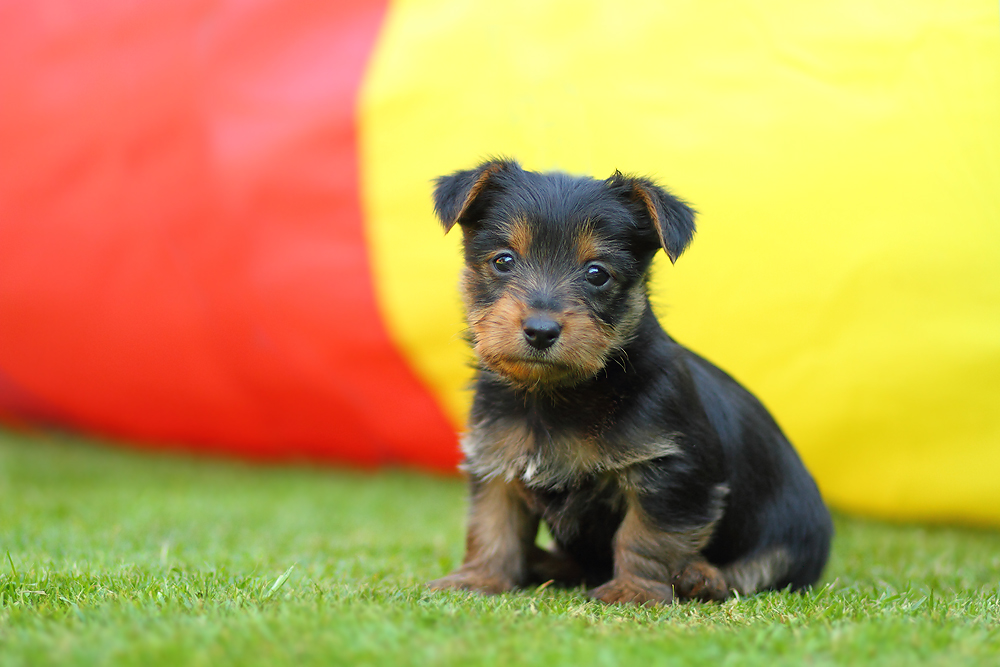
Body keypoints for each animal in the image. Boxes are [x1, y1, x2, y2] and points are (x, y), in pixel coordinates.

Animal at [426, 158, 832, 604]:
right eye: (503, 261)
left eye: (597, 273)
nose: (540, 330)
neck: (560, 393)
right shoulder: (495, 461)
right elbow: (492, 526)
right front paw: (478, 578)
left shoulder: (670, 471)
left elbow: (646, 536)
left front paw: (633, 590)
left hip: (794, 536)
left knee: (757, 571)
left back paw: (703, 577)